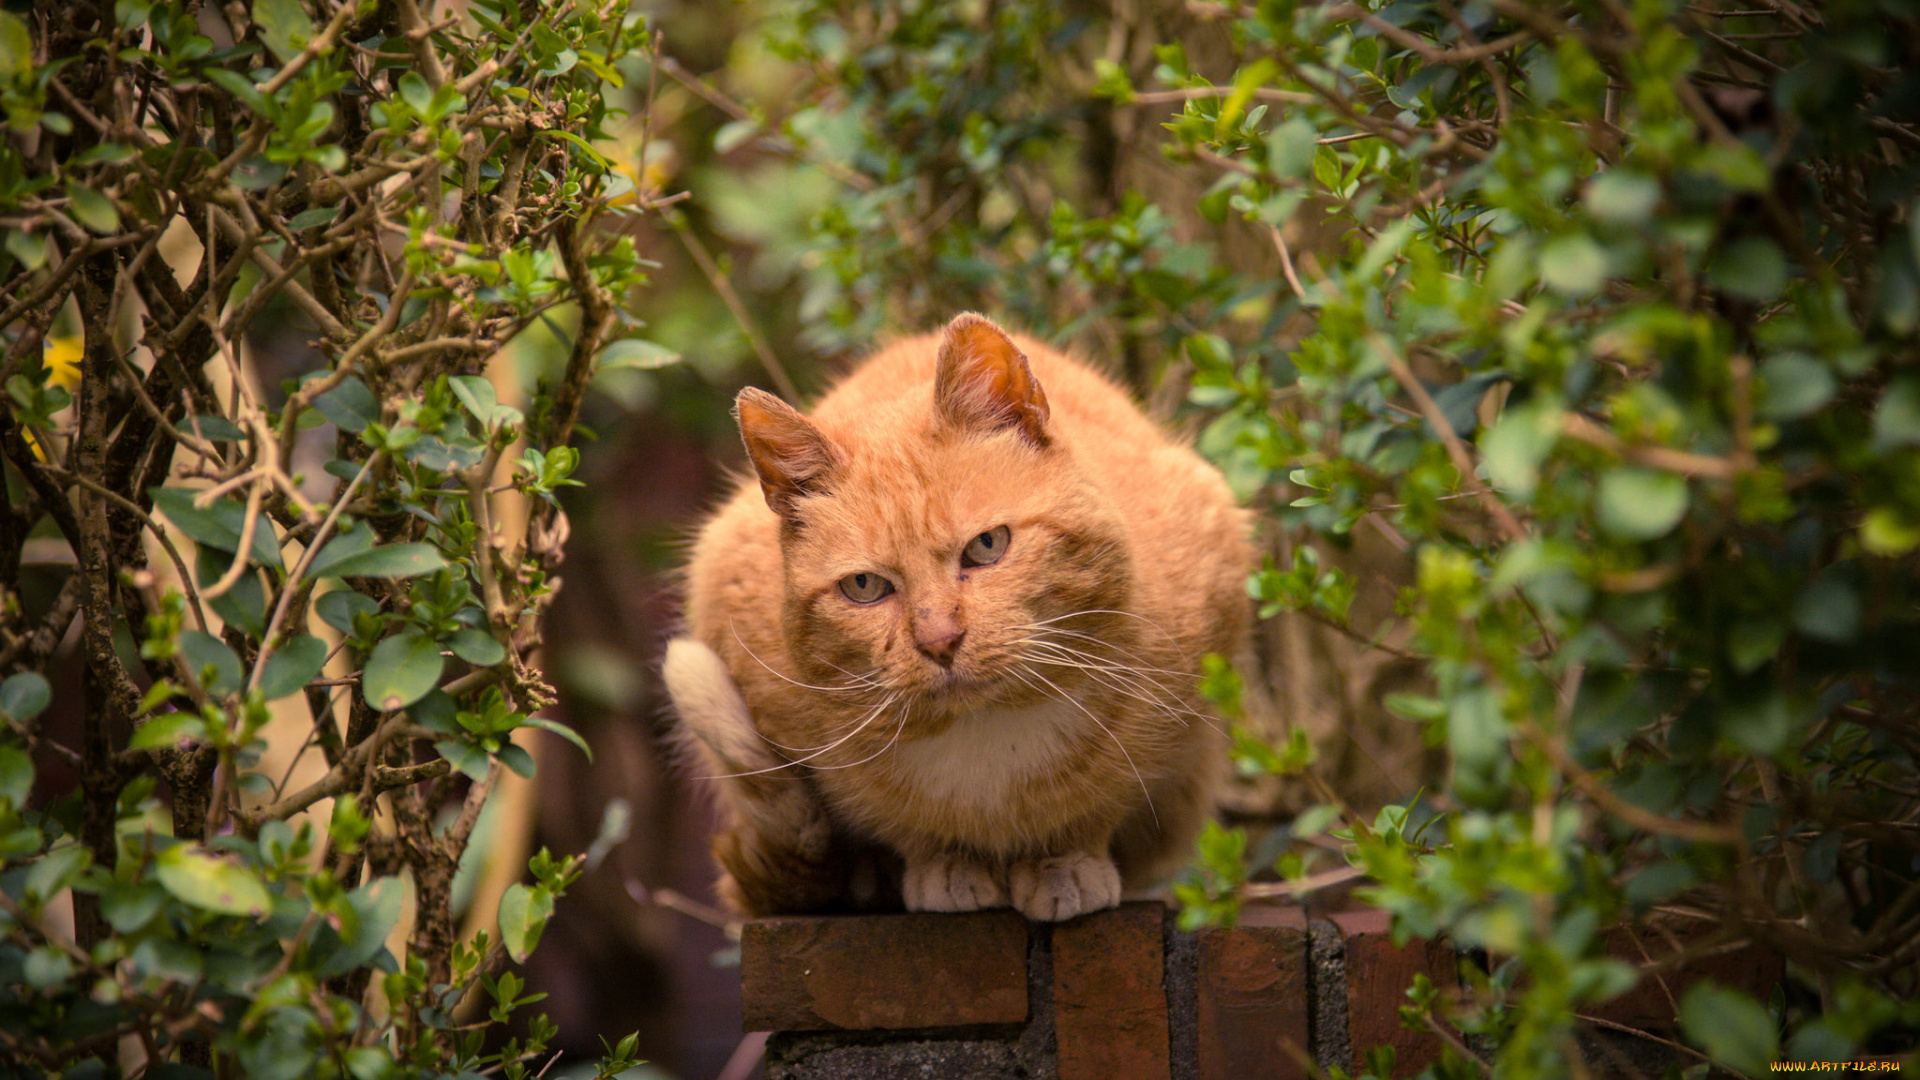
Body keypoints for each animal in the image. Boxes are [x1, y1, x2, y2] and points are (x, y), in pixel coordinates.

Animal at [668, 309, 1251, 914]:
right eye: (864, 586)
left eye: (988, 546)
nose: (939, 640)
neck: (988, 738)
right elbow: (903, 825)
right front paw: (947, 865)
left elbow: (1101, 801)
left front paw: (1063, 862)